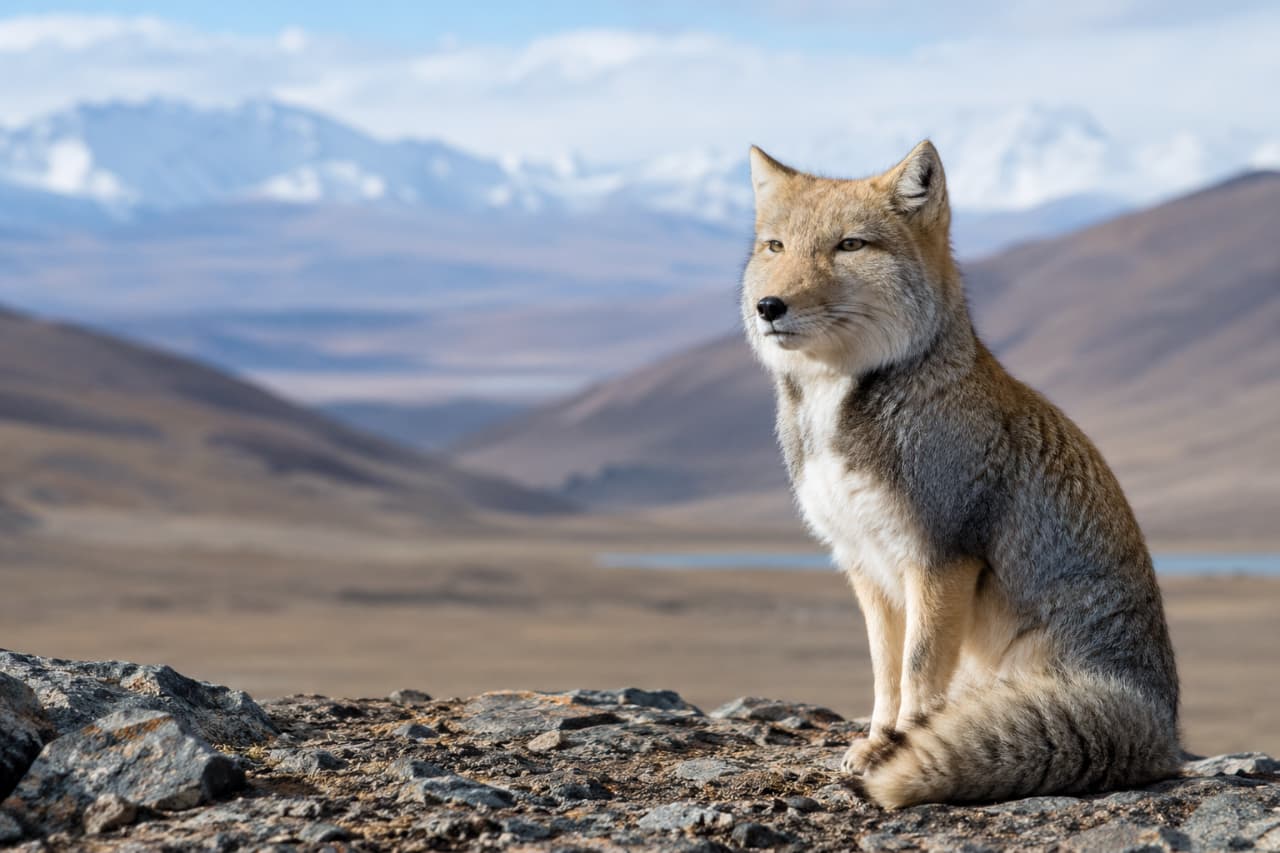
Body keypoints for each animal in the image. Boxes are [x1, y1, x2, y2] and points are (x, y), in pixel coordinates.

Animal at [740, 140, 1181, 808]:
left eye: (849, 245)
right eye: (775, 247)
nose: (769, 307)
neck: (836, 404)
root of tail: (1162, 725)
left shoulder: (940, 557)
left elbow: (918, 672)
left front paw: (902, 747)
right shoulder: (864, 563)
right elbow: (885, 671)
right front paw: (879, 741)